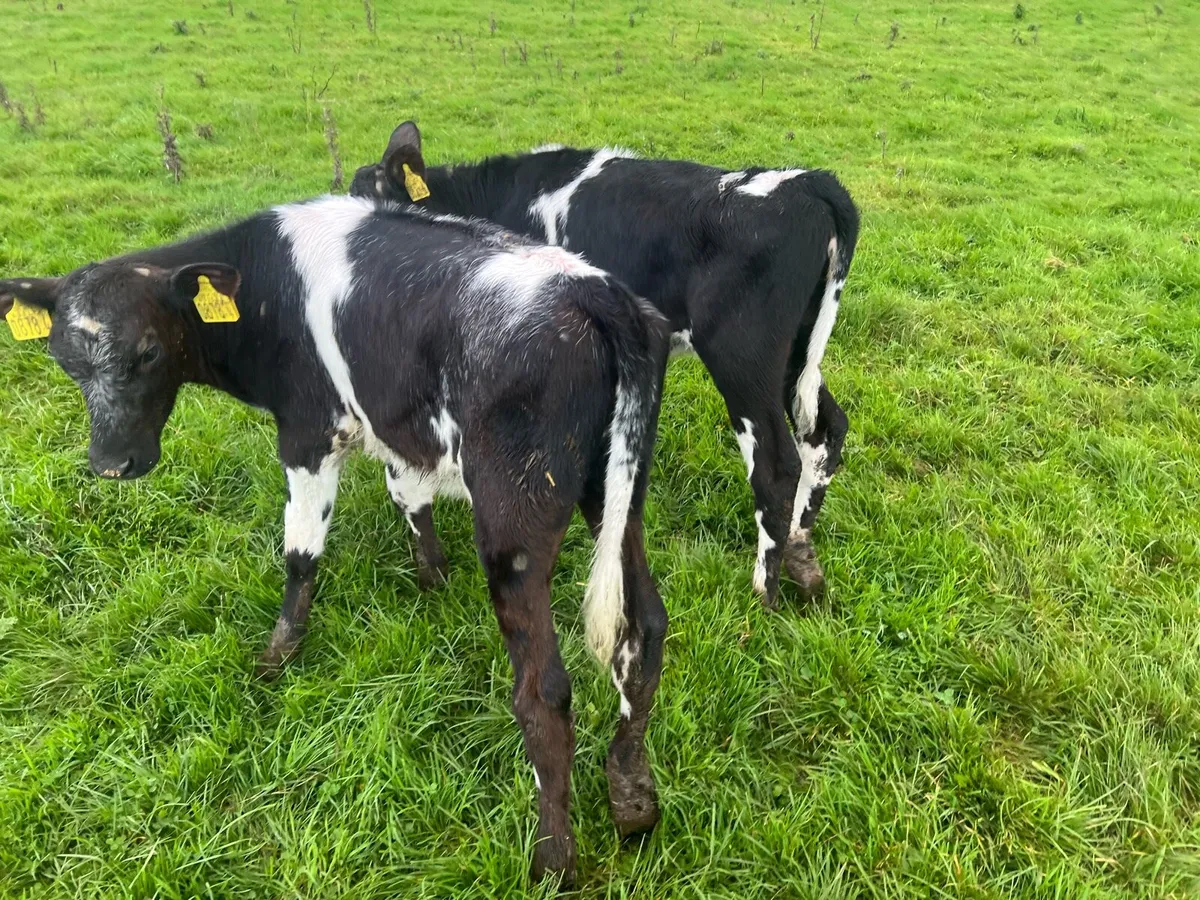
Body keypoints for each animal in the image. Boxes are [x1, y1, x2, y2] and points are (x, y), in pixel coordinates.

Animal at [0, 194, 671, 887]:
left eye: (150, 352)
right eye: (63, 361)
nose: (111, 464)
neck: (265, 284)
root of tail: (594, 290)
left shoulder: (308, 431)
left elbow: (301, 554)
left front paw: (277, 658)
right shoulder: (396, 426)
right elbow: (411, 499)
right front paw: (432, 583)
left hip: (514, 518)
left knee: (544, 691)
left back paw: (553, 857)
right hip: (616, 492)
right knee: (643, 631)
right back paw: (632, 798)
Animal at [350, 122, 860, 611]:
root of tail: (807, 183)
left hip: (743, 359)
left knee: (775, 465)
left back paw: (763, 591)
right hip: (794, 354)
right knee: (825, 429)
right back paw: (801, 554)